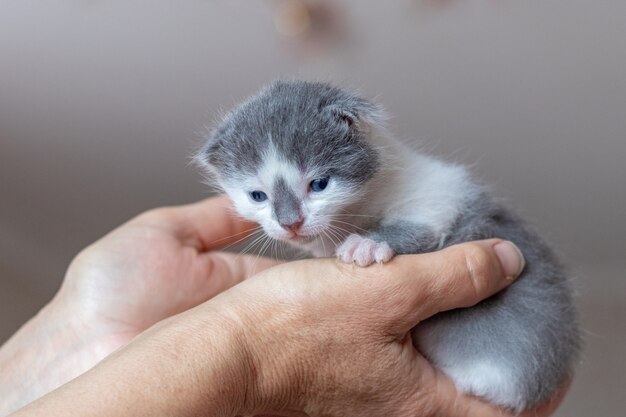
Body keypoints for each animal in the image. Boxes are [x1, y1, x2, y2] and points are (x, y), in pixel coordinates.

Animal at [196, 79, 580, 412]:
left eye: (319, 184)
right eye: (257, 196)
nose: (290, 223)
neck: (358, 211)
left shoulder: (436, 195)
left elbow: (417, 225)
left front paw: (366, 244)